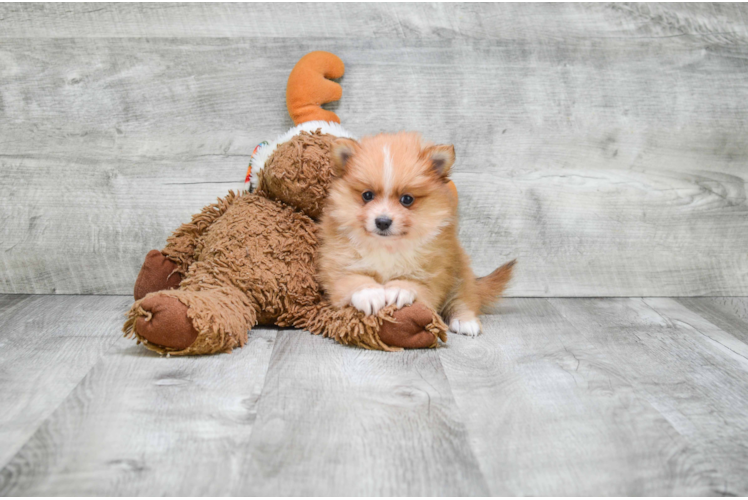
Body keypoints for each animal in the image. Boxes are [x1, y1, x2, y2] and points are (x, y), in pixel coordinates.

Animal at [316, 132, 516, 336]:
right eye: (367, 195)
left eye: (407, 199)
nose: (382, 221)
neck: (387, 247)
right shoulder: (338, 265)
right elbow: (353, 279)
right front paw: (370, 293)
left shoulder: (432, 273)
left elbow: (414, 281)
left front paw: (399, 289)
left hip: (459, 273)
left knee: (463, 298)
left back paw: (465, 320)